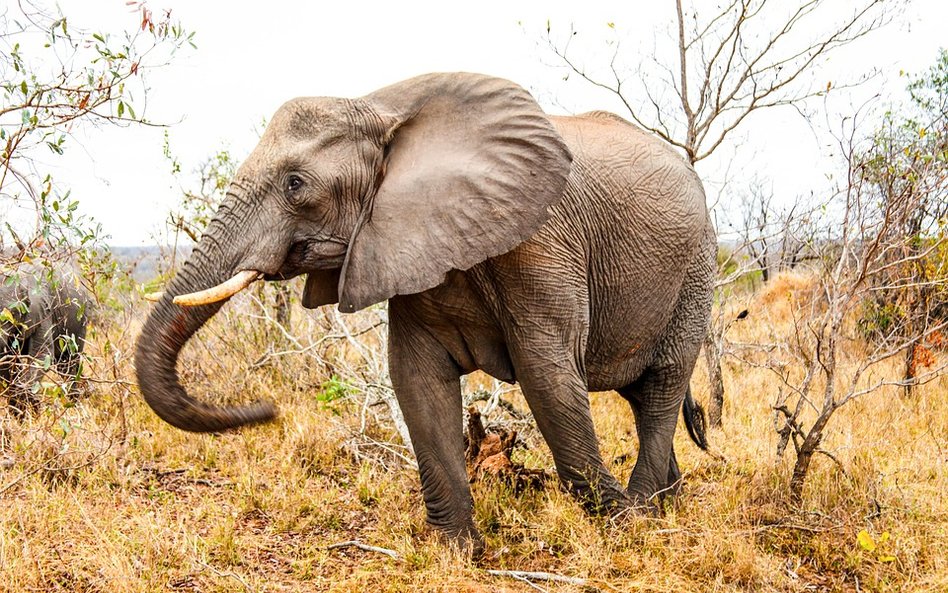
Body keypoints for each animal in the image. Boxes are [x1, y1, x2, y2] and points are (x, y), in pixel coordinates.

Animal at [137, 73, 716, 552]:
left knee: (661, 386)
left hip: (696, 269)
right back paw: (669, 504)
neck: (382, 107)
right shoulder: (406, 240)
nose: (267, 410)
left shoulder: (542, 243)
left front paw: (621, 527)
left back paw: (646, 513)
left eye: (296, 184)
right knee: (642, 396)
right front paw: (460, 552)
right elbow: (417, 378)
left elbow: (547, 376)